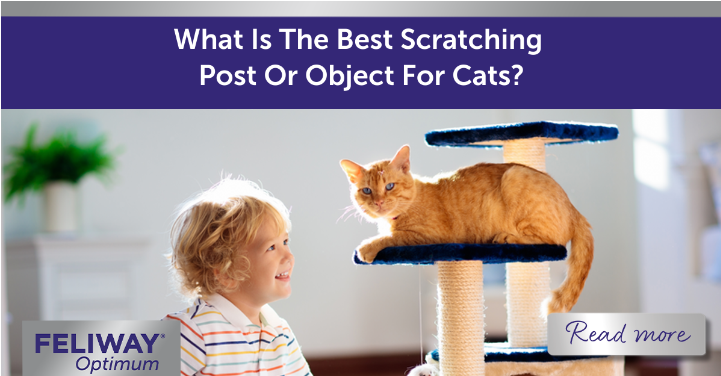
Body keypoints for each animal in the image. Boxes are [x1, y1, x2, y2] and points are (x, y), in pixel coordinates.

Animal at [340, 145, 592, 312]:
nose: (379, 202)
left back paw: (507, 237)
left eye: (389, 186)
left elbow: (391, 238)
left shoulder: (428, 236)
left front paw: (367, 247)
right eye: (367, 191)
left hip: (515, 177)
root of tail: (574, 208)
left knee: (549, 241)